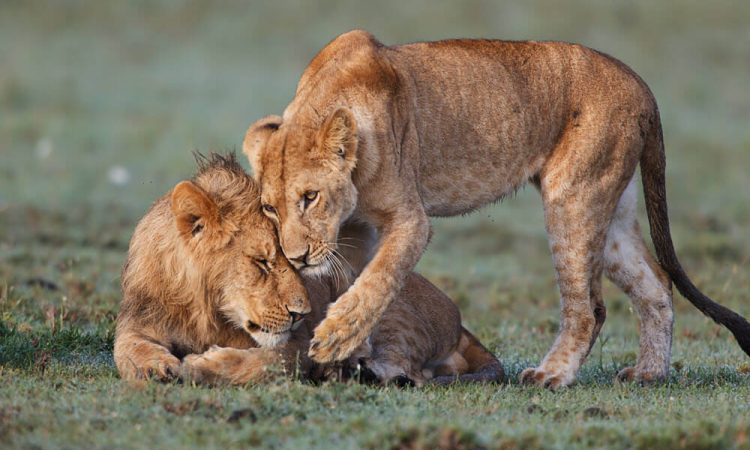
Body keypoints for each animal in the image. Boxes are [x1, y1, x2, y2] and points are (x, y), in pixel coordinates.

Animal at [113, 153, 502, 386]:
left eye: (295, 263)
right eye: (263, 262)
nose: (301, 313)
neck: (204, 311)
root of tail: (460, 322)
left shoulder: (301, 343)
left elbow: (270, 361)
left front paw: (202, 365)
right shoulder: (139, 319)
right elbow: (126, 348)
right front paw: (153, 366)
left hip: (381, 309)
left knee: (410, 372)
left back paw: (351, 371)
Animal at [243, 30, 750, 389]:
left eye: (310, 197)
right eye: (269, 208)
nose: (296, 258)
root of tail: (641, 84)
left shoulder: (410, 220)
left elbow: (377, 280)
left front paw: (335, 337)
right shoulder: (354, 231)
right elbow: (358, 283)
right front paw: (350, 352)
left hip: (572, 195)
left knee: (590, 306)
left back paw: (553, 375)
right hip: (613, 209)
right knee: (656, 284)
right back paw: (650, 373)